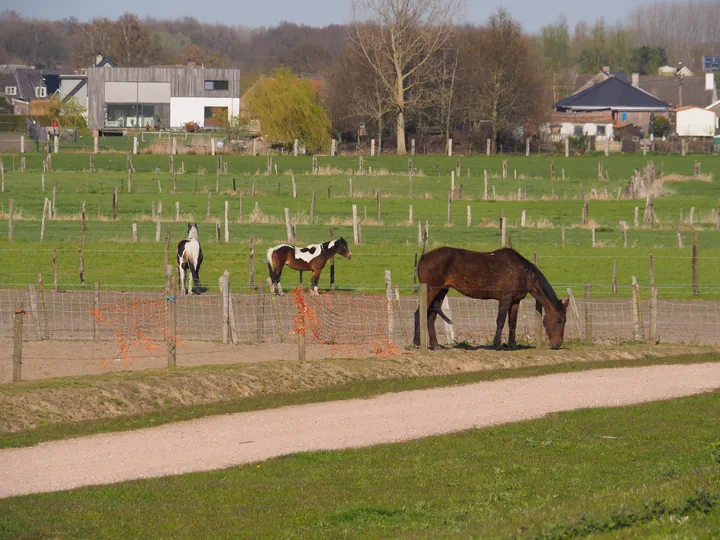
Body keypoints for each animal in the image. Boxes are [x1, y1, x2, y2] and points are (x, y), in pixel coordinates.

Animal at [414, 248, 572, 350]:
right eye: (559, 320)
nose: (558, 344)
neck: (523, 273)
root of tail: (423, 257)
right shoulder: (505, 299)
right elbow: (500, 321)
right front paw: (497, 344)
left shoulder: (515, 301)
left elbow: (512, 323)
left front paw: (512, 345)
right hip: (430, 289)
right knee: (419, 313)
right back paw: (416, 343)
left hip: (441, 291)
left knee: (431, 317)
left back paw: (435, 345)